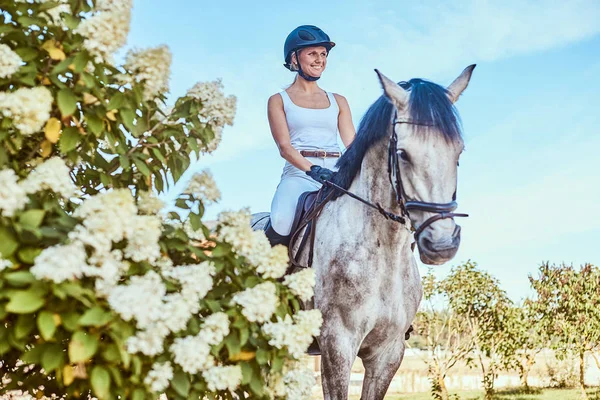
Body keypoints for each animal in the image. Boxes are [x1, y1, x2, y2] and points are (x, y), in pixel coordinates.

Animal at [253, 64, 474, 398]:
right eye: (403, 154)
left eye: (458, 152)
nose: (441, 244)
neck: (383, 250)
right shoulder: (337, 345)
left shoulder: (388, 352)